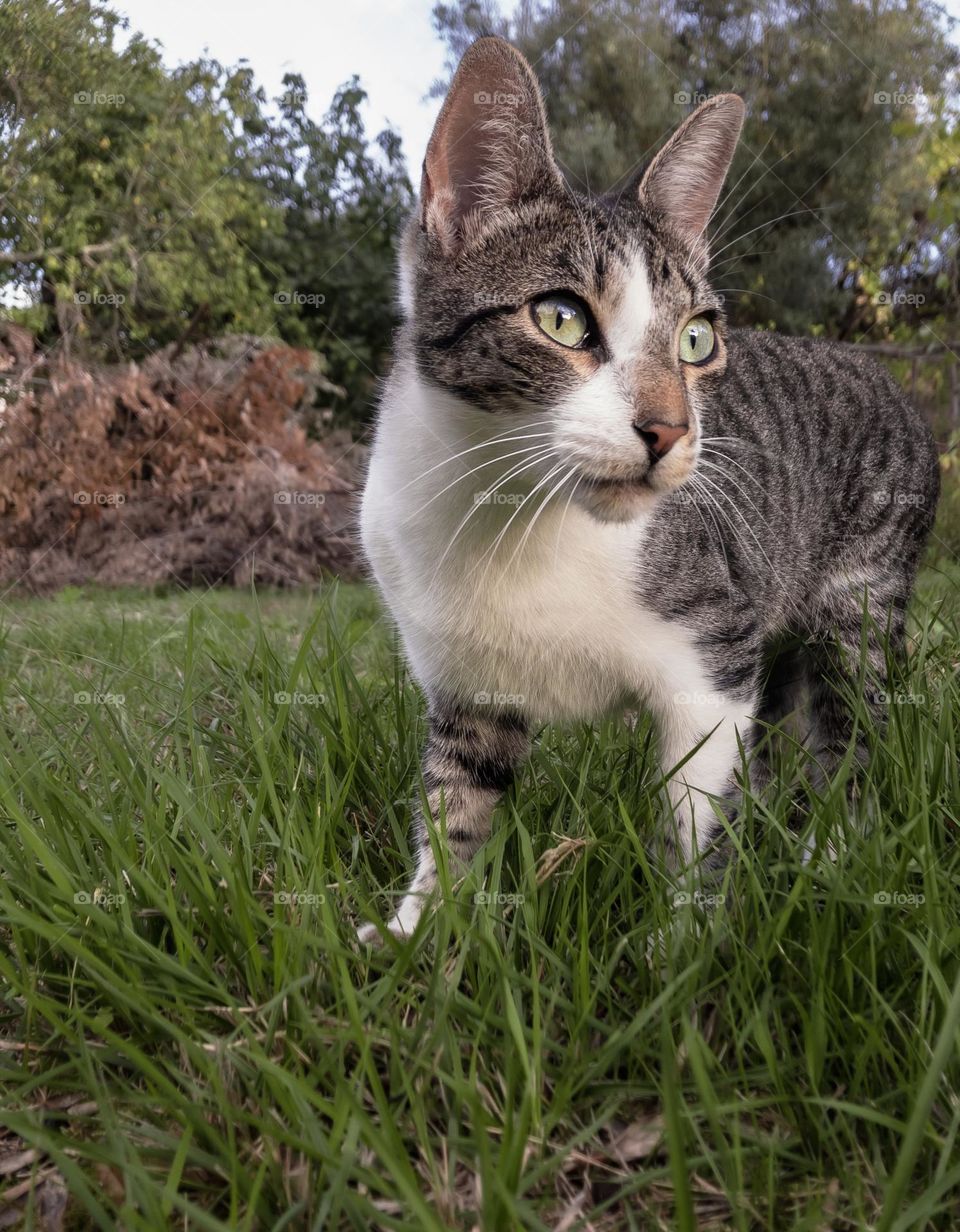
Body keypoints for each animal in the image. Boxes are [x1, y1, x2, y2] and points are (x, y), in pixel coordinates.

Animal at [357, 36, 941, 941]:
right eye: (561, 318)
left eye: (696, 340)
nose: (669, 430)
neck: (513, 516)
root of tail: (884, 376)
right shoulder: (466, 679)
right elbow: (456, 800)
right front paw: (417, 929)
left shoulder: (714, 653)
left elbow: (698, 807)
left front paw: (684, 943)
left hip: (863, 595)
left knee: (850, 721)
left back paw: (832, 858)